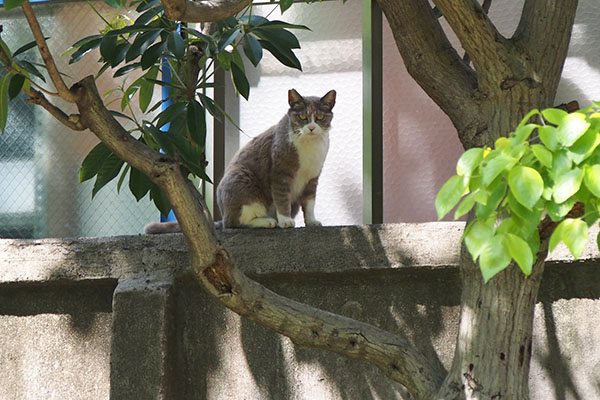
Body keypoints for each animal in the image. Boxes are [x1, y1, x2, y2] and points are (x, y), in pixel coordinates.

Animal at [143, 86, 336, 233]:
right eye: (302, 117)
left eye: (320, 117)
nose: (311, 127)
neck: (309, 147)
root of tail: (222, 214)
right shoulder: (279, 172)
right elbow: (282, 197)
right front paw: (285, 221)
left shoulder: (313, 176)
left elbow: (310, 201)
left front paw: (312, 222)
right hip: (242, 178)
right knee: (234, 223)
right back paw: (268, 221)